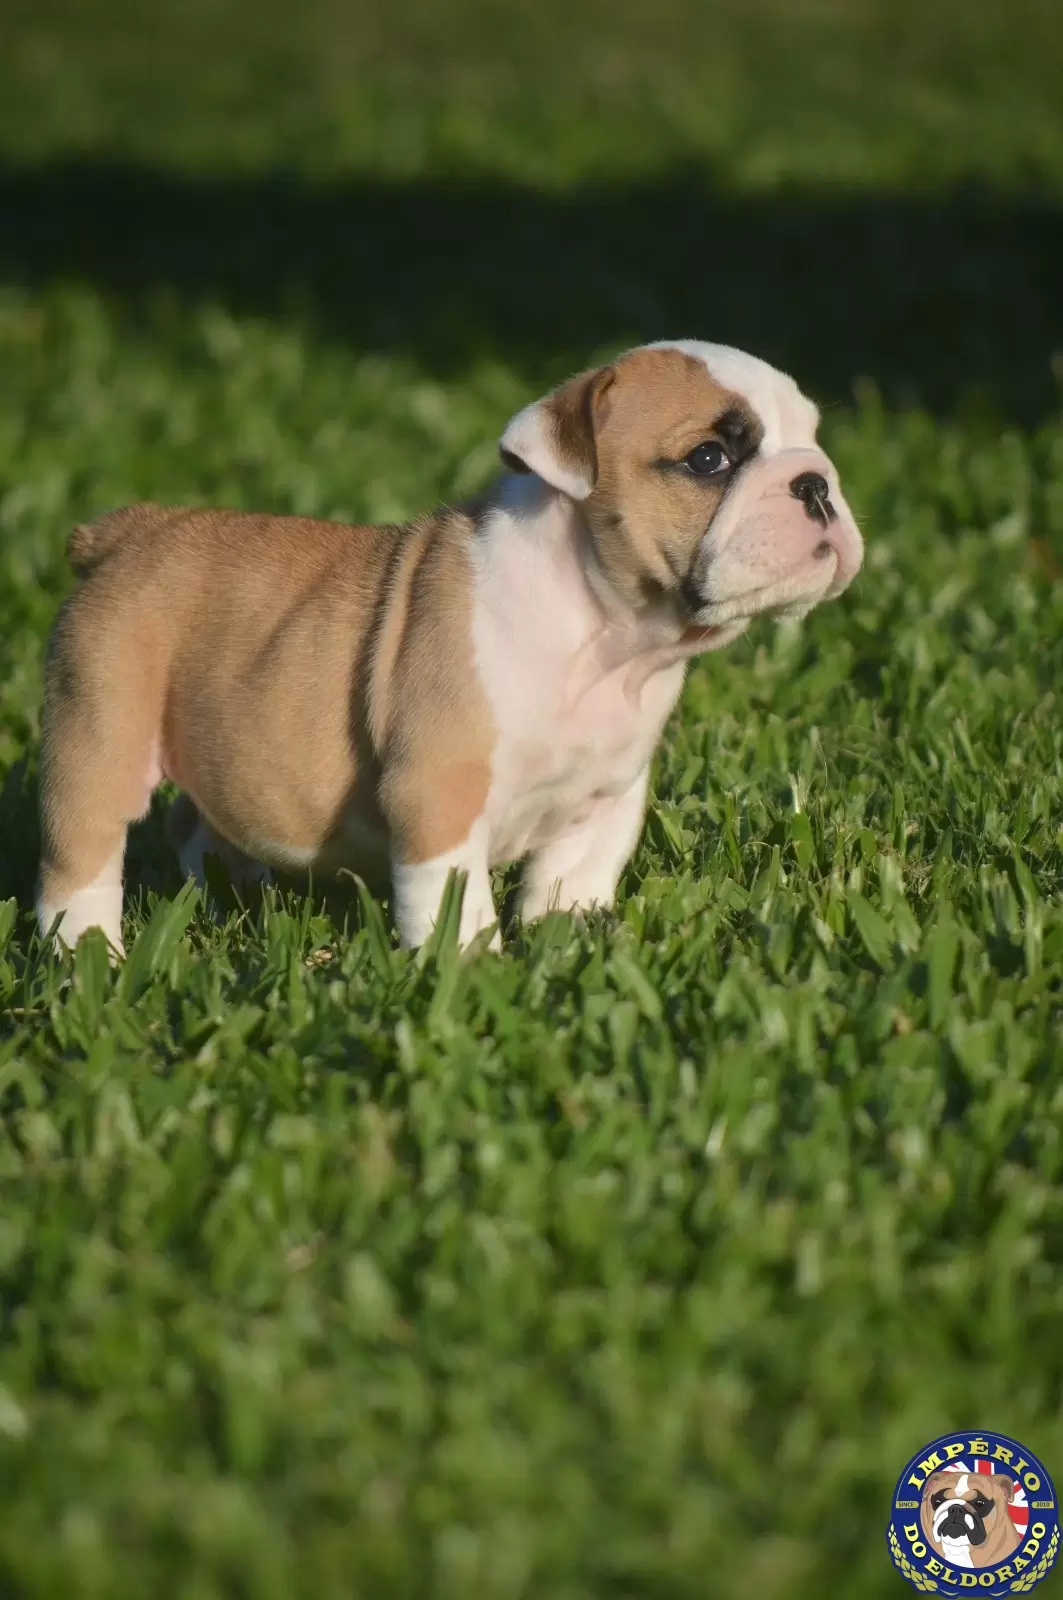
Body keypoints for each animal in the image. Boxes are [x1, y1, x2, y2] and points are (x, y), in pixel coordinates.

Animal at [35, 339, 864, 953]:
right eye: (708, 459)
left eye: (812, 439)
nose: (816, 483)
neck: (603, 640)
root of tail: (128, 532)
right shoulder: (441, 795)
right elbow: (454, 907)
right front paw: (469, 974)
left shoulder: (606, 798)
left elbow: (573, 882)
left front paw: (570, 946)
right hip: (98, 737)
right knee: (80, 858)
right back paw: (89, 961)